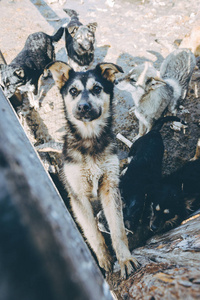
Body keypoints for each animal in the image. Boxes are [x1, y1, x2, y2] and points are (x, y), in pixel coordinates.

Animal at [44, 59, 138, 278]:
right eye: (73, 91)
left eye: (97, 89)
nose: (83, 107)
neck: (90, 142)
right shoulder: (78, 196)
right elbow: (93, 232)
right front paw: (104, 260)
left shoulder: (110, 188)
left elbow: (118, 229)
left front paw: (124, 259)